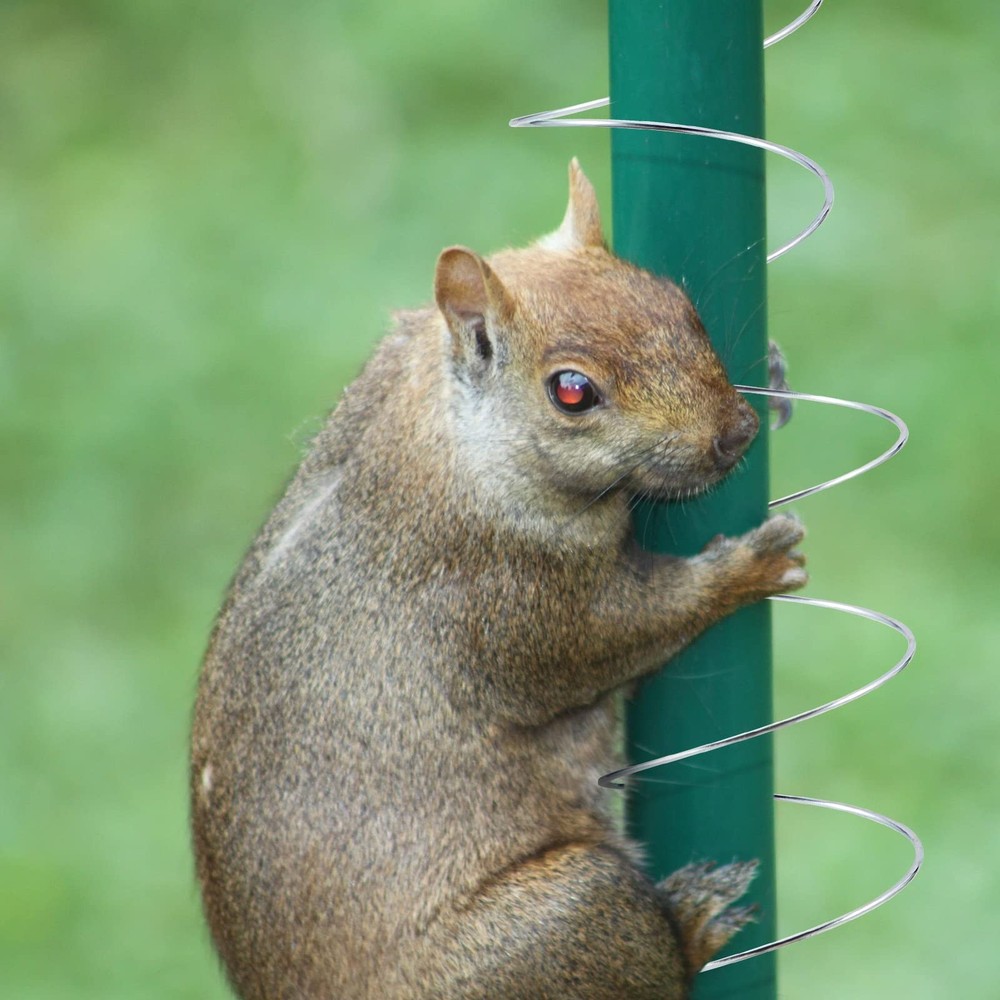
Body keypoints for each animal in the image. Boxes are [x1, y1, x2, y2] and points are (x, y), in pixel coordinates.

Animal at [191, 159, 807, 1000]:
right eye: (572, 391)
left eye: (680, 306)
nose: (733, 434)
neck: (458, 439)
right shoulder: (505, 598)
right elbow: (623, 631)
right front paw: (750, 567)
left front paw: (771, 375)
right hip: (574, 917)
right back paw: (691, 926)